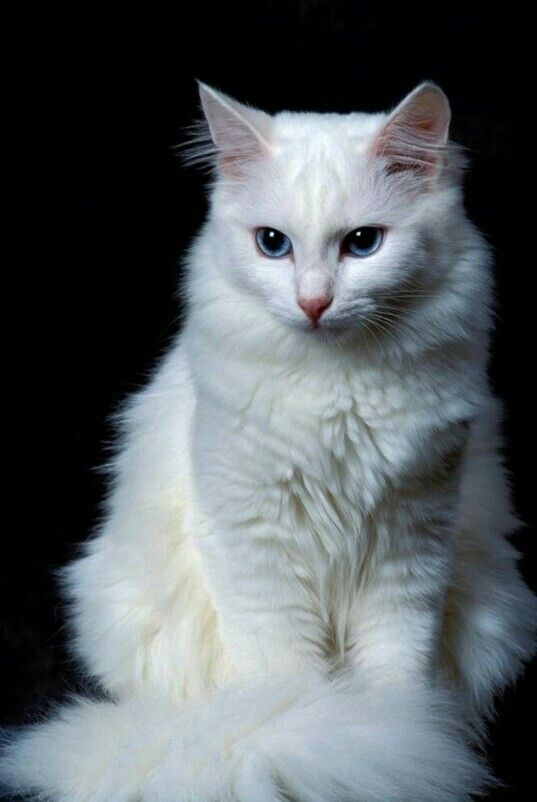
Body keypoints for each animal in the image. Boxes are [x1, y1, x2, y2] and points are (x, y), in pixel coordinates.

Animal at [2, 83, 532, 800]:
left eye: (363, 243)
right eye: (272, 244)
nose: (313, 304)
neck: (339, 389)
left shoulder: (410, 545)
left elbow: (396, 674)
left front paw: (402, 744)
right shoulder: (258, 551)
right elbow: (292, 685)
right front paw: (332, 736)